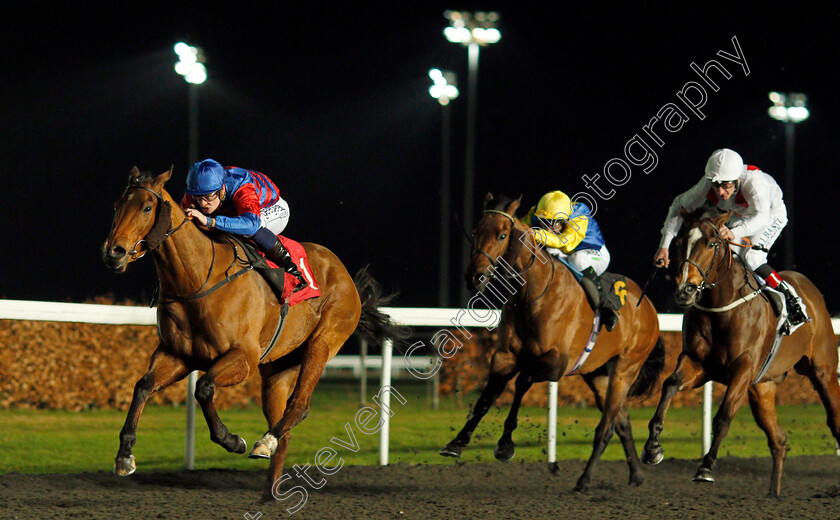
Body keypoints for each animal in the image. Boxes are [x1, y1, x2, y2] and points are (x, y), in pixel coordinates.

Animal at [102, 167, 400, 500]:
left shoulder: (242, 358)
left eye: (146, 207)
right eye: (116, 206)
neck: (196, 280)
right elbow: (142, 386)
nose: (113, 253)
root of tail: (344, 273)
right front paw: (125, 456)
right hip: (277, 369)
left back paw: (264, 443)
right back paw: (270, 490)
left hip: (323, 342)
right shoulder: (176, 355)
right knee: (283, 424)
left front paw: (232, 440)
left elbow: (203, 388)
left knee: (299, 404)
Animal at [440, 194, 664, 492]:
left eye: (501, 235)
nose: (474, 277)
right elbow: (487, 397)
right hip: (597, 374)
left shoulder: (556, 364)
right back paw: (636, 474)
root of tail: (648, 305)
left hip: (626, 369)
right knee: (622, 423)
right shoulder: (504, 357)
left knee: (606, 428)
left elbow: (522, 382)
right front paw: (457, 442)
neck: (531, 295)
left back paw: (584, 480)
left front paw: (505, 444)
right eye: (475, 232)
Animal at [644, 206, 840, 496]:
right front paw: (652, 447)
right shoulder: (698, 364)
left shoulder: (743, 369)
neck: (721, 307)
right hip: (761, 389)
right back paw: (773, 495)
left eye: (711, 244)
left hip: (823, 371)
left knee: (834, 419)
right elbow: (670, 384)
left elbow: (724, 416)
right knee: (779, 439)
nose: (685, 289)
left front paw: (706, 467)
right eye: (679, 243)